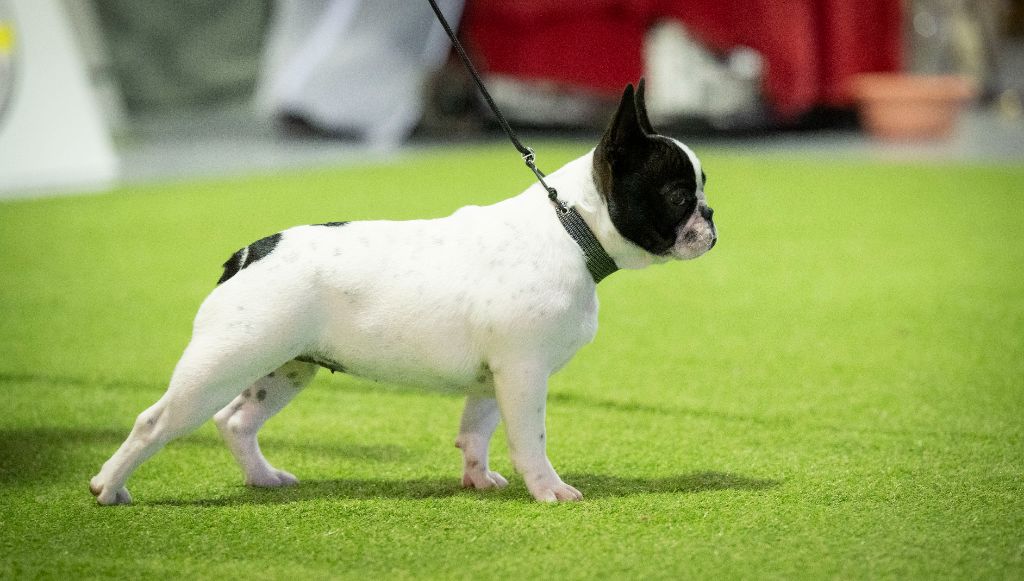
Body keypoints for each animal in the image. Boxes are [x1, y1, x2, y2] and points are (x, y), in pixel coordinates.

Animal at [92, 80, 716, 504]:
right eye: (678, 195)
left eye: (701, 191)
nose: (711, 218)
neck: (571, 226)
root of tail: (252, 252)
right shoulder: (523, 371)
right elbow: (528, 438)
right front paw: (548, 490)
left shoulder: (494, 375)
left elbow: (476, 429)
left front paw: (476, 478)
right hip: (222, 361)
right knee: (155, 422)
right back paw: (109, 487)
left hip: (285, 365)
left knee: (237, 421)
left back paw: (263, 478)